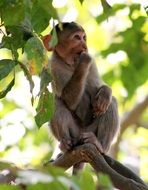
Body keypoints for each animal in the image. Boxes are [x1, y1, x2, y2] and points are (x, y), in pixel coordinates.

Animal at [42, 21, 119, 172]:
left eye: (84, 37)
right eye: (77, 37)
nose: (84, 45)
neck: (71, 64)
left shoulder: (93, 64)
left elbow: (99, 87)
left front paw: (105, 93)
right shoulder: (53, 66)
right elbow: (69, 100)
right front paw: (83, 61)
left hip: (90, 131)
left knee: (111, 103)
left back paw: (100, 145)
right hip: (75, 133)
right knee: (55, 101)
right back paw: (65, 145)